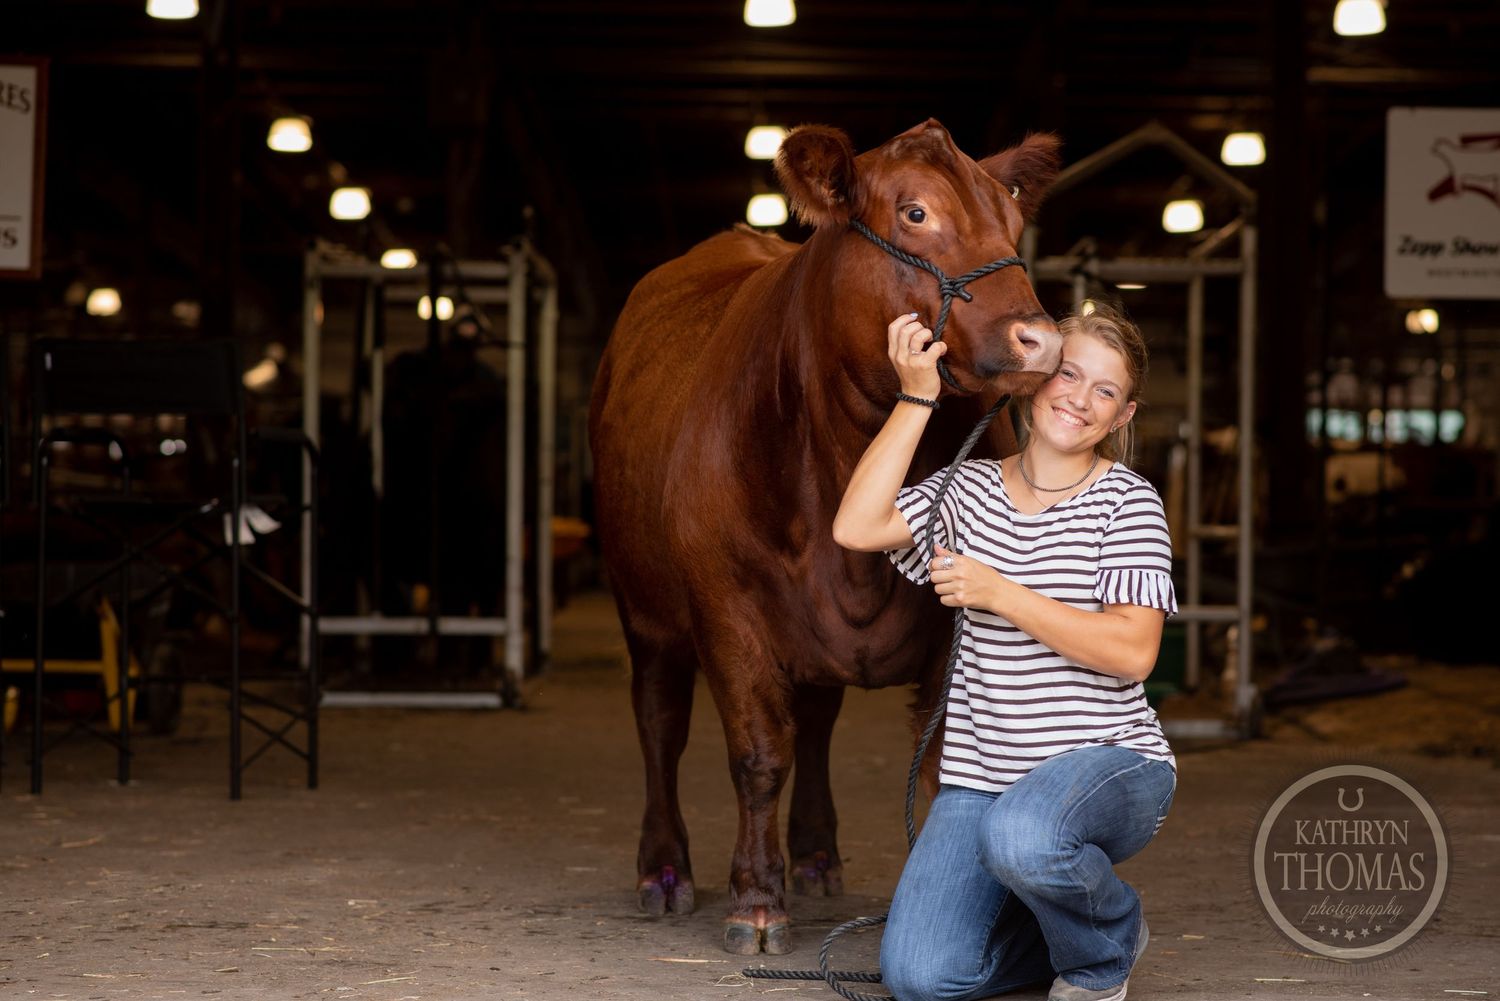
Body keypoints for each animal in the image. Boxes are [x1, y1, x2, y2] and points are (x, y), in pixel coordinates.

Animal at [588, 119, 1064, 956]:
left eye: (1012, 219)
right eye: (915, 213)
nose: (1039, 339)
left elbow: (937, 757)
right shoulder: (727, 611)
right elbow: (757, 752)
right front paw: (755, 902)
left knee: (814, 721)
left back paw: (813, 855)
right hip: (642, 605)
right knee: (661, 722)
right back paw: (665, 869)